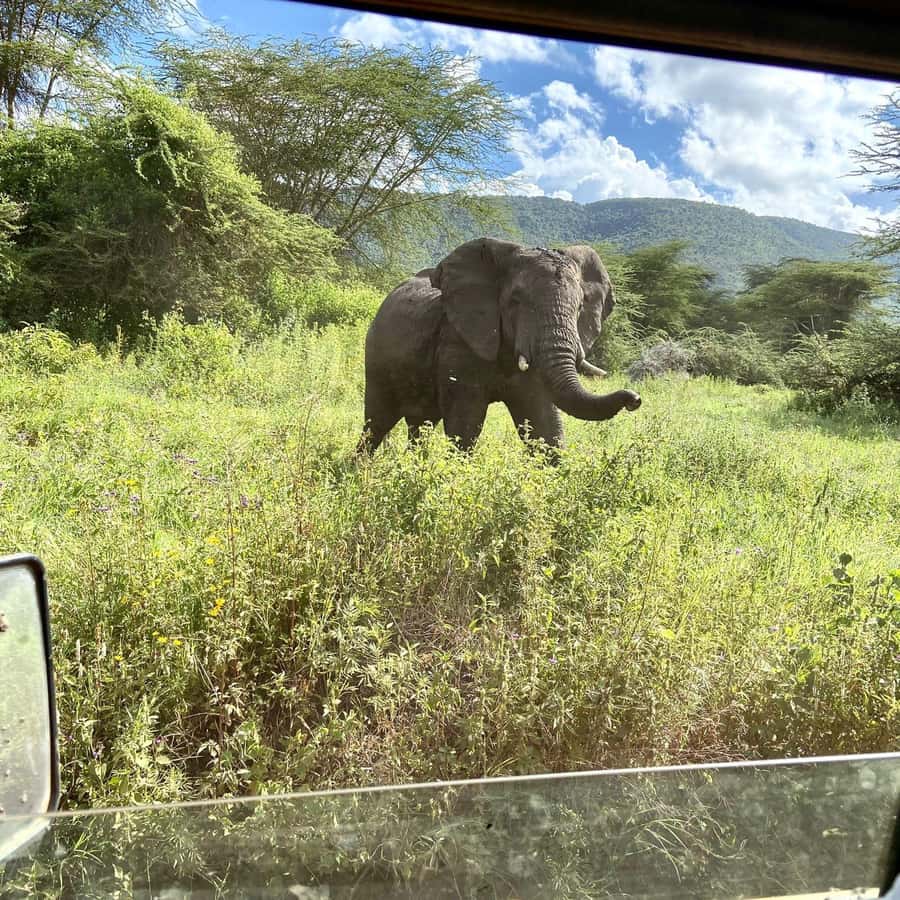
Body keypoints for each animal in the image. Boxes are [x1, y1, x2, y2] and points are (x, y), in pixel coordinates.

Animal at [357, 237, 641, 456]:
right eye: (515, 301)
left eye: (581, 306)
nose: (634, 399)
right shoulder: (458, 341)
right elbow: (465, 424)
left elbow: (544, 424)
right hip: (376, 360)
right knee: (377, 422)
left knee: (421, 425)